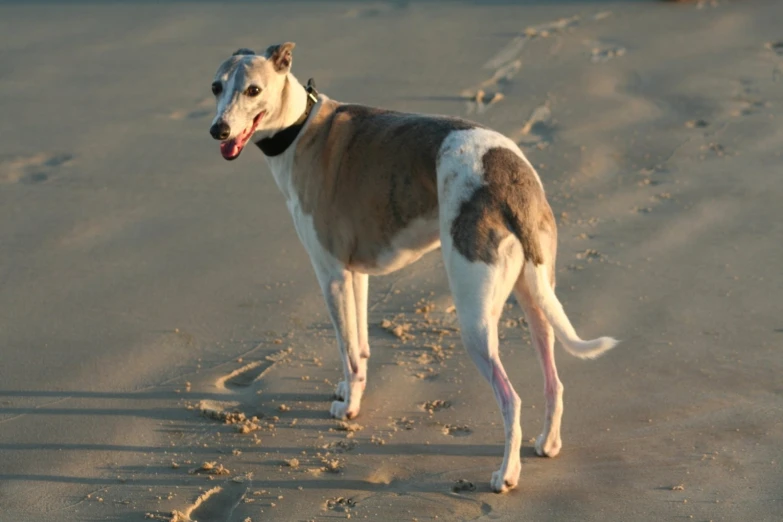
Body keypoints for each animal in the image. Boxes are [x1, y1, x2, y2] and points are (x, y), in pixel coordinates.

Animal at [208, 41, 620, 492]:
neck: (300, 127)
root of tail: (511, 178)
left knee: (510, 397)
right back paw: (548, 443)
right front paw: (349, 391)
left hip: (475, 316)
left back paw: (506, 473)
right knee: (553, 379)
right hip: (535, 294)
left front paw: (348, 409)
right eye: (216, 87)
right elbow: (360, 345)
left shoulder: (331, 273)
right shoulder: (355, 274)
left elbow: (346, 348)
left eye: (253, 89)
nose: (218, 131)